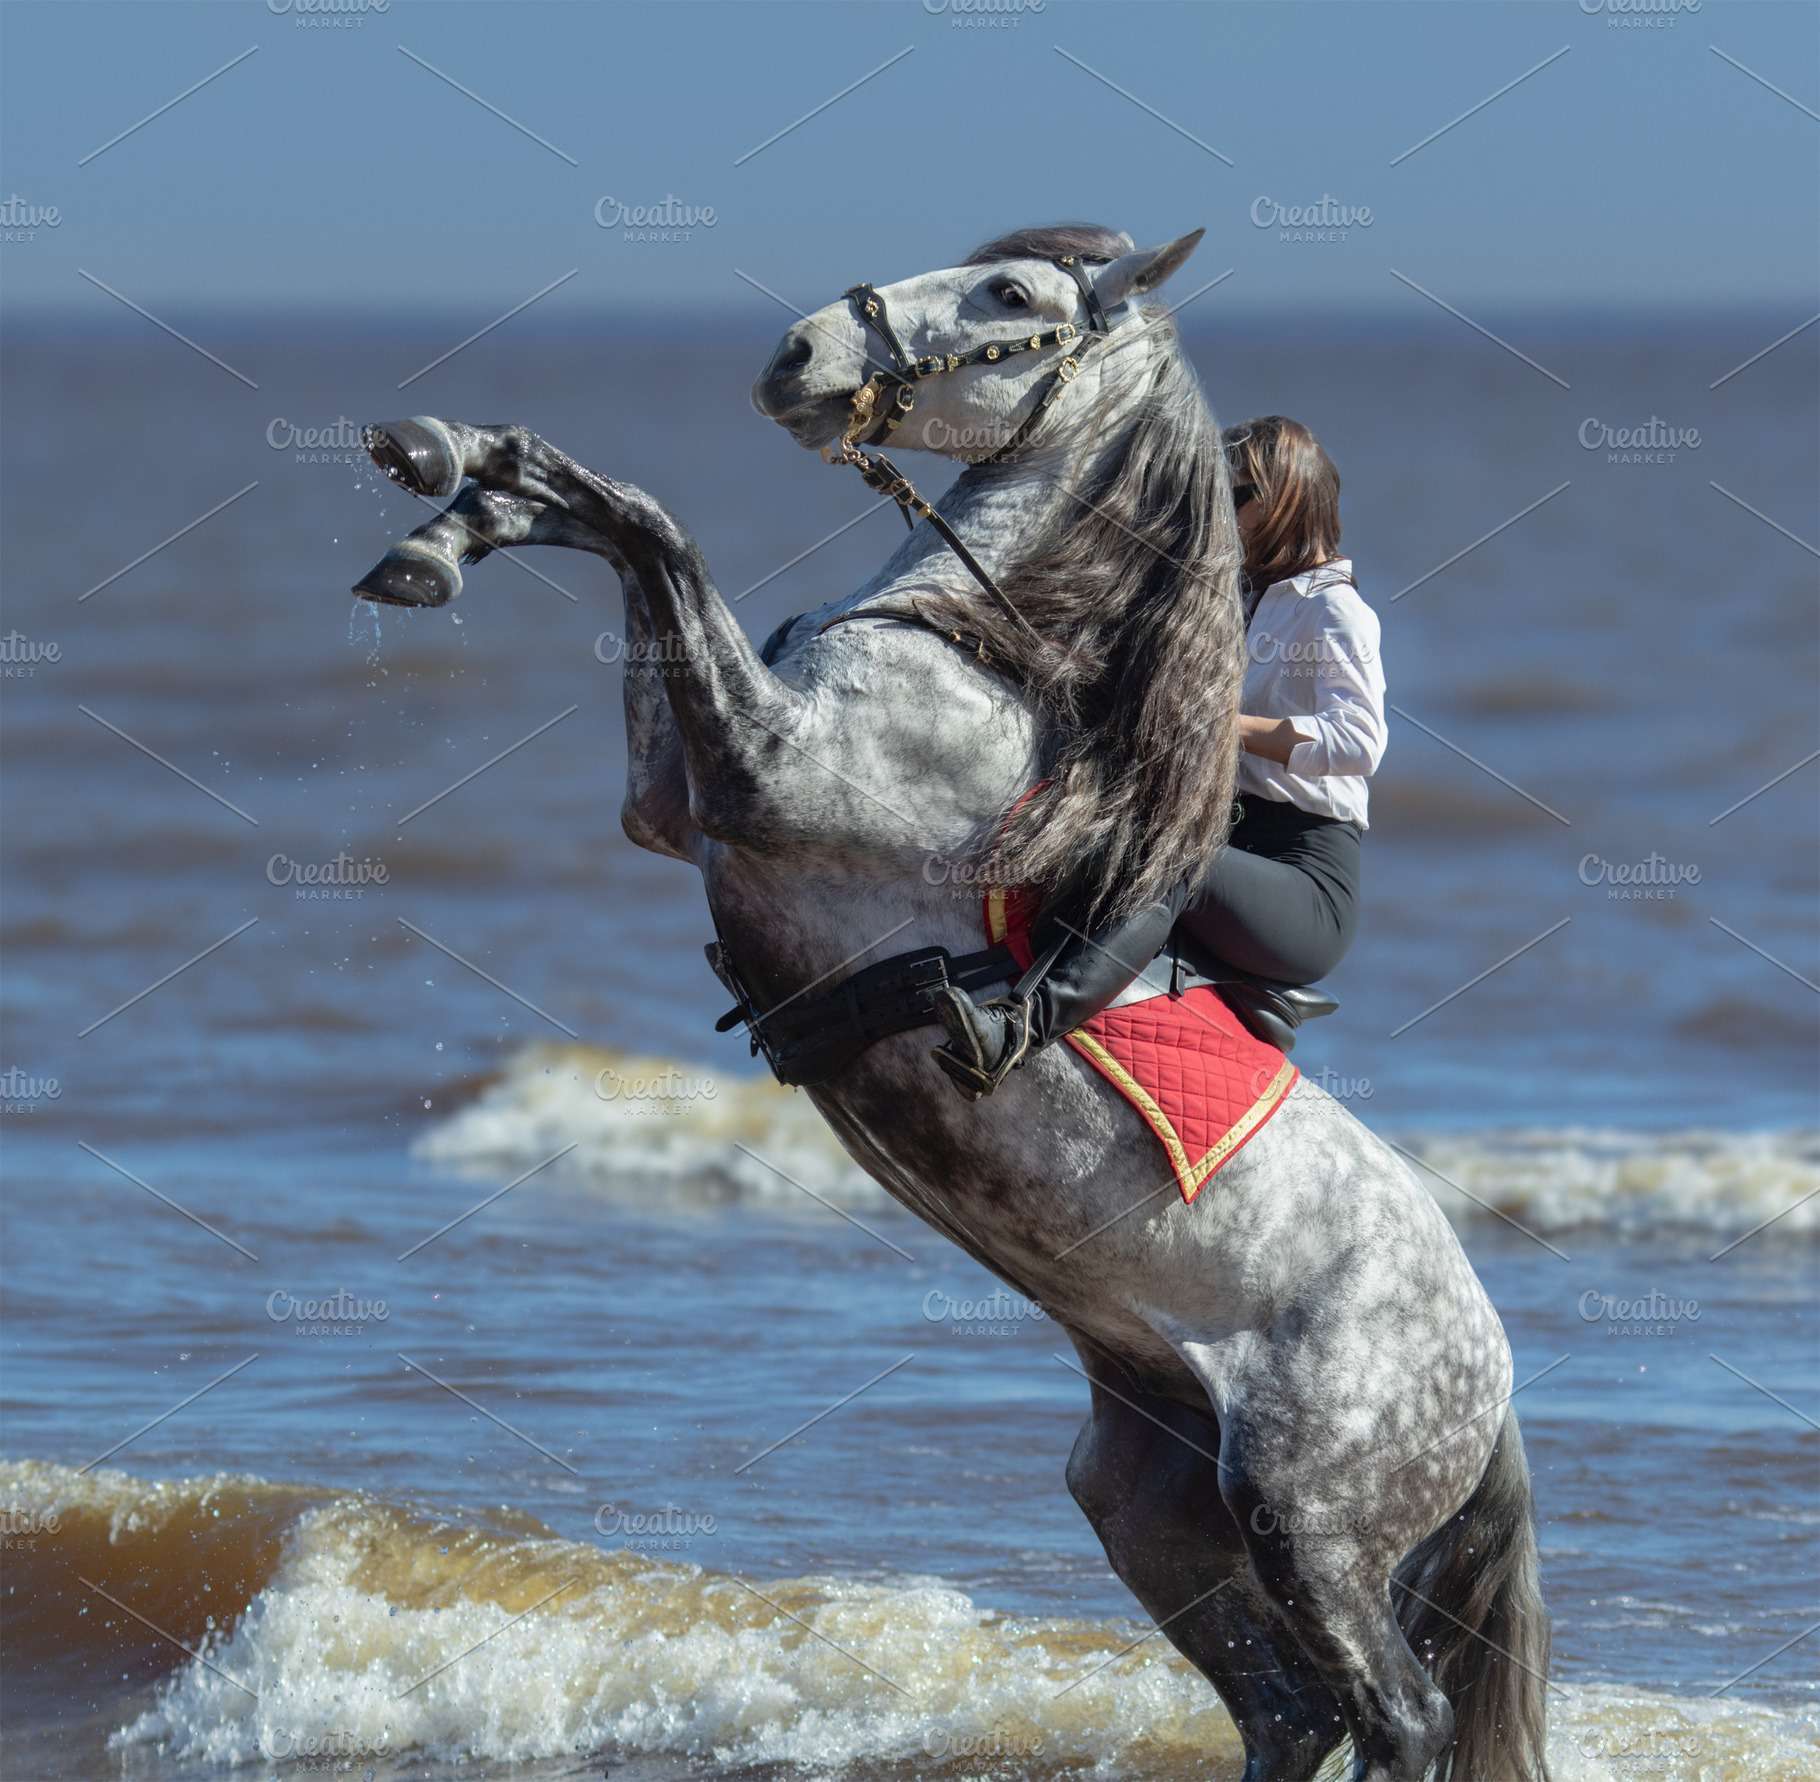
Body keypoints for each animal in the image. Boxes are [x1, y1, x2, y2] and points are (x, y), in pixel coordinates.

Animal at [351, 223, 1552, 1782]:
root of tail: (1489, 1378)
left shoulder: (769, 774)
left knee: (1394, 1715)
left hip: (1311, 1518)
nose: (794, 354)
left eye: (1014, 299)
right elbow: (622, 549)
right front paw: (455, 489)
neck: (975, 639)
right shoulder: (675, 802)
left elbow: (648, 528)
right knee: (1290, 1713)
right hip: (1154, 1498)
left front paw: (470, 489)